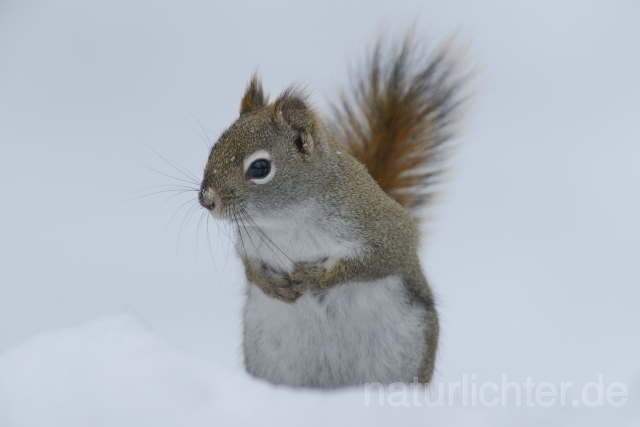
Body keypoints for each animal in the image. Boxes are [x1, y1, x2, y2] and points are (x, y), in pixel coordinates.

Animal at [198, 31, 462, 390]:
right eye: (215, 148)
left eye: (260, 168)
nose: (206, 200)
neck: (287, 220)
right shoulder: (249, 244)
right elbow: (250, 268)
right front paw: (269, 285)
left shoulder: (387, 231)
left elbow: (372, 263)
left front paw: (315, 277)